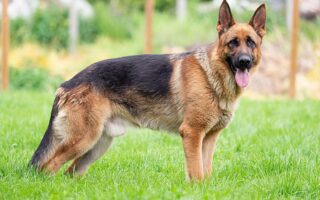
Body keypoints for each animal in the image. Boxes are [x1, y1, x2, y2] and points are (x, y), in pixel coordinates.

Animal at [29, 0, 264, 181]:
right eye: (233, 43)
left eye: (251, 43)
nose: (244, 62)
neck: (212, 74)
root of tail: (67, 83)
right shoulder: (192, 133)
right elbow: (196, 172)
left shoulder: (208, 138)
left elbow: (205, 171)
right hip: (84, 139)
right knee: (49, 166)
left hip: (97, 144)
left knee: (70, 171)